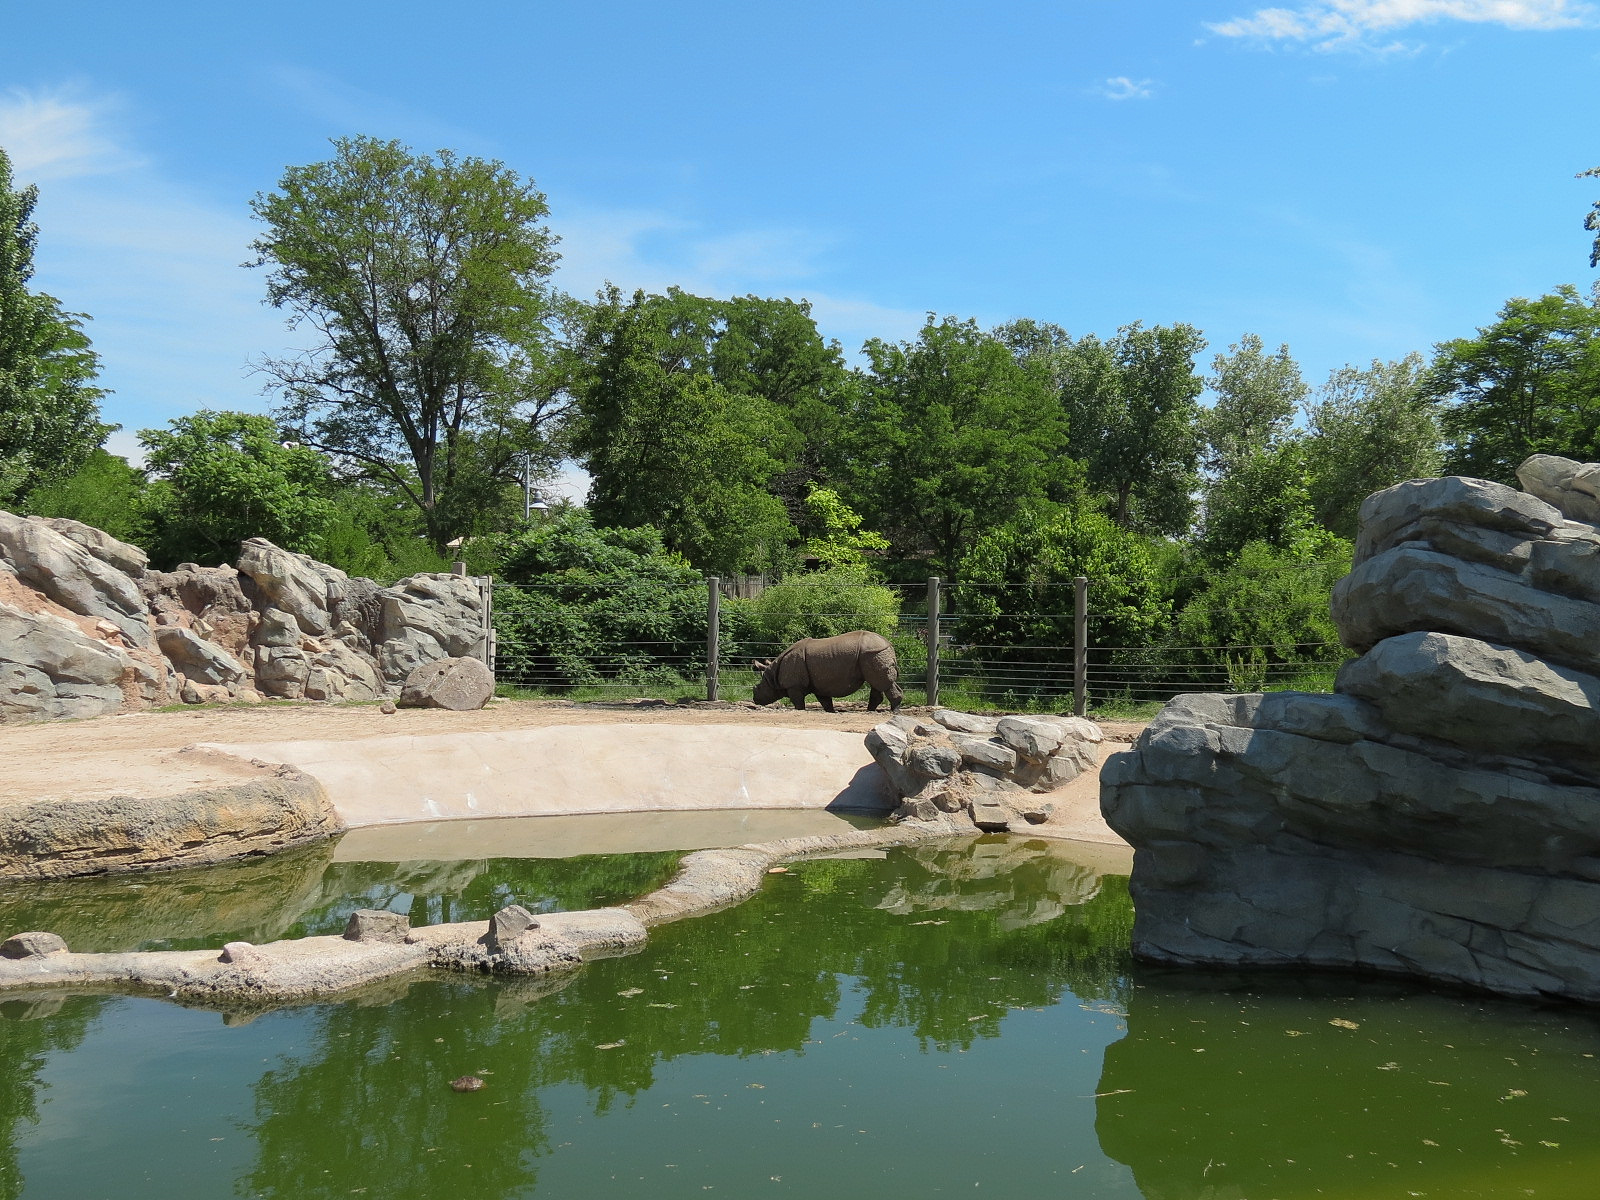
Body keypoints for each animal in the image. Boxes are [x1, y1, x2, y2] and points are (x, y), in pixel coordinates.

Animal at [751, 630, 903, 713]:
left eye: (758, 688)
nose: (755, 700)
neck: (772, 676)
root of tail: (888, 643)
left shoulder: (794, 686)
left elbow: (798, 703)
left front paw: (801, 710)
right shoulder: (819, 685)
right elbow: (826, 702)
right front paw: (832, 711)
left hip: (873, 653)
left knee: (882, 683)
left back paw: (894, 711)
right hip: (874, 654)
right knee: (877, 683)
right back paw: (870, 711)